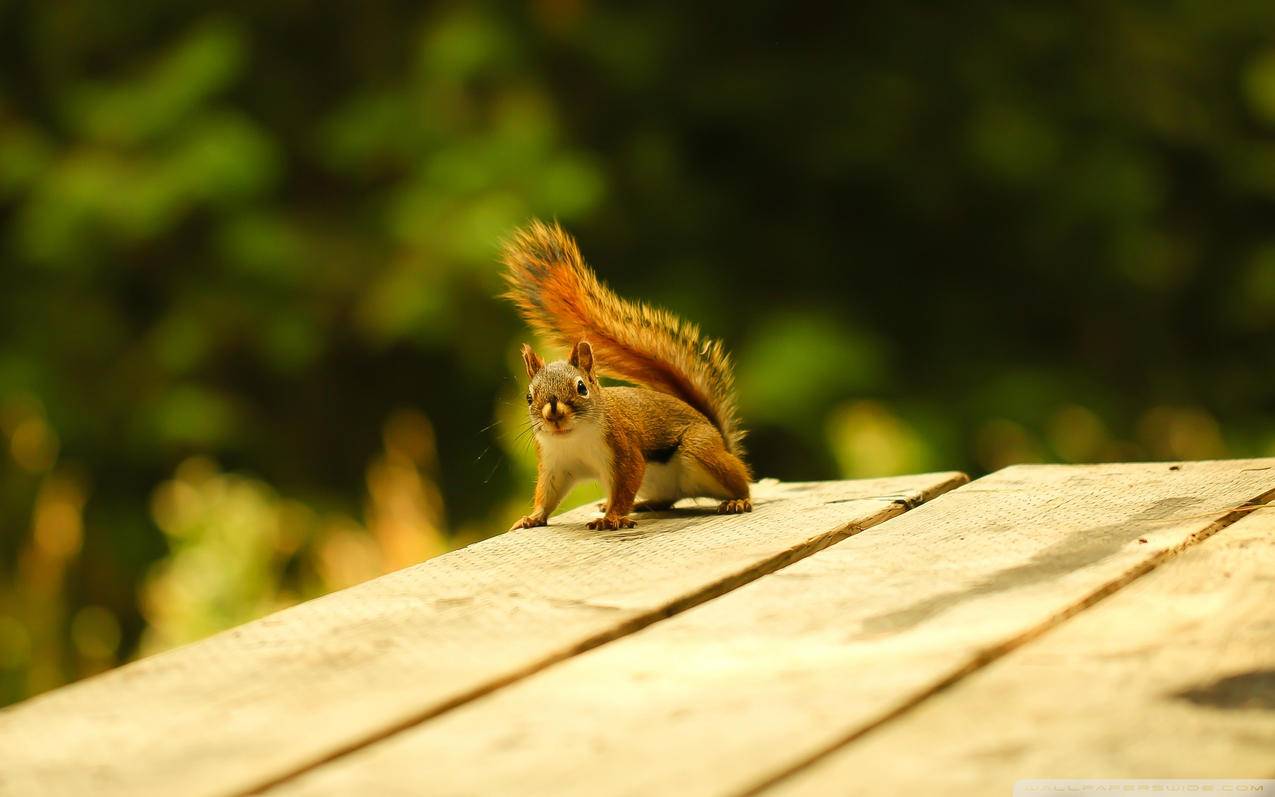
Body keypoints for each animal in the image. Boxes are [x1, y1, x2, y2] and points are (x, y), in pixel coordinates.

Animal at [502, 219, 749, 527]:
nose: (553, 413)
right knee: (669, 498)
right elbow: (547, 495)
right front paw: (532, 518)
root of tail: (720, 438)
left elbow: (625, 484)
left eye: (581, 387)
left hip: (702, 449)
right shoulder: (554, 465)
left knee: (742, 482)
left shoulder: (624, 449)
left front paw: (612, 518)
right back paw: (644, 504)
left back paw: (738, 500)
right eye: (529, 397)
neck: (573, 438)